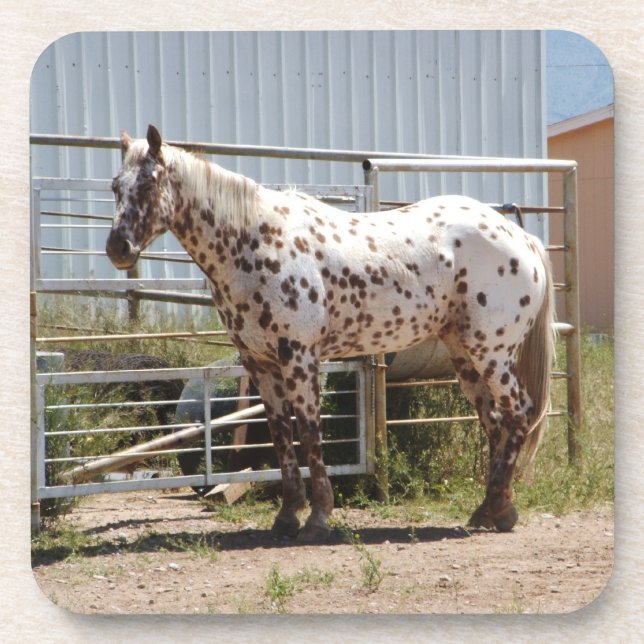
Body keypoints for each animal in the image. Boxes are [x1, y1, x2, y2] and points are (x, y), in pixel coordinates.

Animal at [106, 124, 555, 542]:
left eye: (149, 183)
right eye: (115, 186)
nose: (117, 248)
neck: (255, 242)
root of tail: (522, 239)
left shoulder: (300, 357)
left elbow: (308, 433)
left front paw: (318, 519)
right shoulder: (261, 364)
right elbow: (281, 436)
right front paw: (287, 517)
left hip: (492, 353)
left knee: (517, 413)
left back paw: (497, 508)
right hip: (464, 357)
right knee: (495, 422)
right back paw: (491, 510)